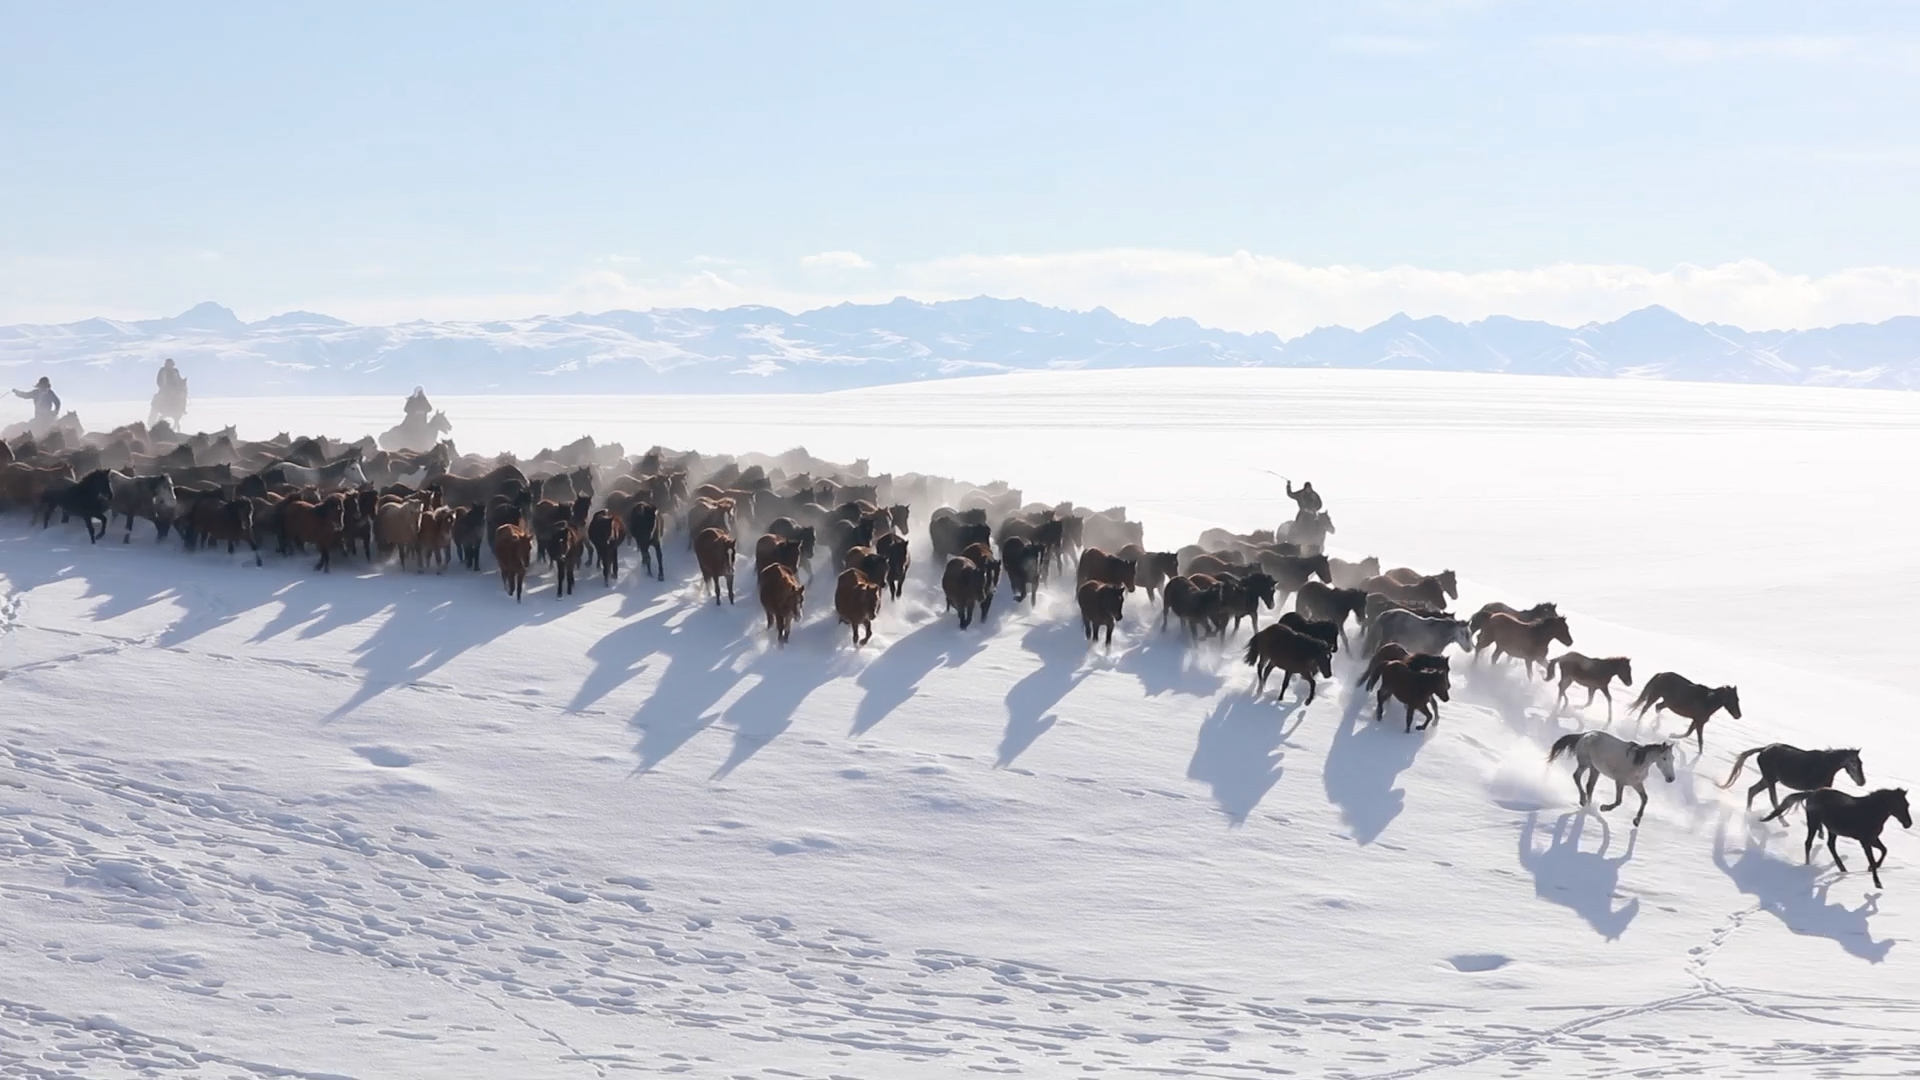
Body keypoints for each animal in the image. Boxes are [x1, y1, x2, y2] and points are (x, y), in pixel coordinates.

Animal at [1536, 730, 1674, 822]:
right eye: (1664, 758)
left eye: (1673, 758)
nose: (1671, 779)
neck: (1638, 762)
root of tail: (1585, 734)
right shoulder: (1620, 781)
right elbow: (1618, 801)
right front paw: (1603, 808)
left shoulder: (1636, 784)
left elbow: (1645, 799)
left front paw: (1637, 821)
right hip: (1585, 764)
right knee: (1577, 777)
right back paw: (1584, 802)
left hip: (1595, 768)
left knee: (1589, 785)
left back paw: (1587, 805)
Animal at [1720, 737, 1866, 807]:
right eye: (1854, 763)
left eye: (1861, 763)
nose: (1862, 782)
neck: (1826, 766)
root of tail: (1763, 749)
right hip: (1770, 779)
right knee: (1772, 799)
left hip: (1769, 779)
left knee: (1752, 791)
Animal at [1758, 787, 1912, 887]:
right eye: (1900, 804)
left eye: (1907, 804)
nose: (1908, 824)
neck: (1871, 811)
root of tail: (1812, 793)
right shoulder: (1865, 841)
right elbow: (1874, 858)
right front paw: (1877, 883)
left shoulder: (1872, 839)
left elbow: (1884, 850)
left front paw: (1871, 869)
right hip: (1814, 822)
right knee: (1808, 843)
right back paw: (1808, 865)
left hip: (1832, 829)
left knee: (1830, 845)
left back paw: (1842, 868)